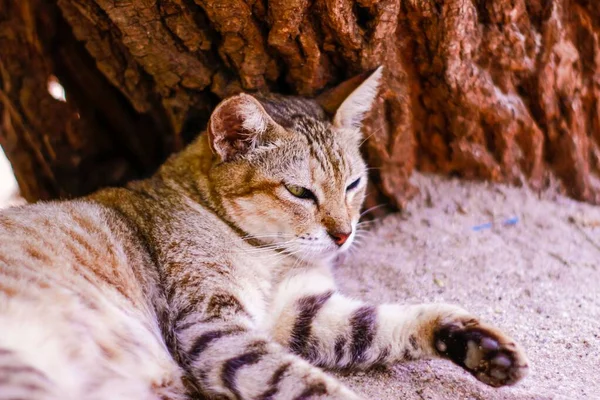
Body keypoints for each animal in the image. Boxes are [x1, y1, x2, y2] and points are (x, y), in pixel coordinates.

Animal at [0, 67, 524, 398]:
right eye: (299, 191)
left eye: (353, 184)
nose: (343, 234)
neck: (268, 256)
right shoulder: (211, 325)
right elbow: (303, 382)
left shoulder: (298, 312)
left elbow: (384, 323)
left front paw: (477, 343)